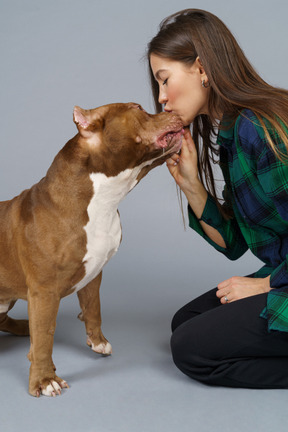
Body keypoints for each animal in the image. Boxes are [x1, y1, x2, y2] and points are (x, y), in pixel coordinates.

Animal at [0, 101, 183, 394]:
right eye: (139, 108)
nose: (171, 109)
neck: (103, 199)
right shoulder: (44, 291)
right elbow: (44, 337)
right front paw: (44, 378)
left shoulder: (94, 273)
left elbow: (93, 308)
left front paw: (97, 341)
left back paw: (24, 327)